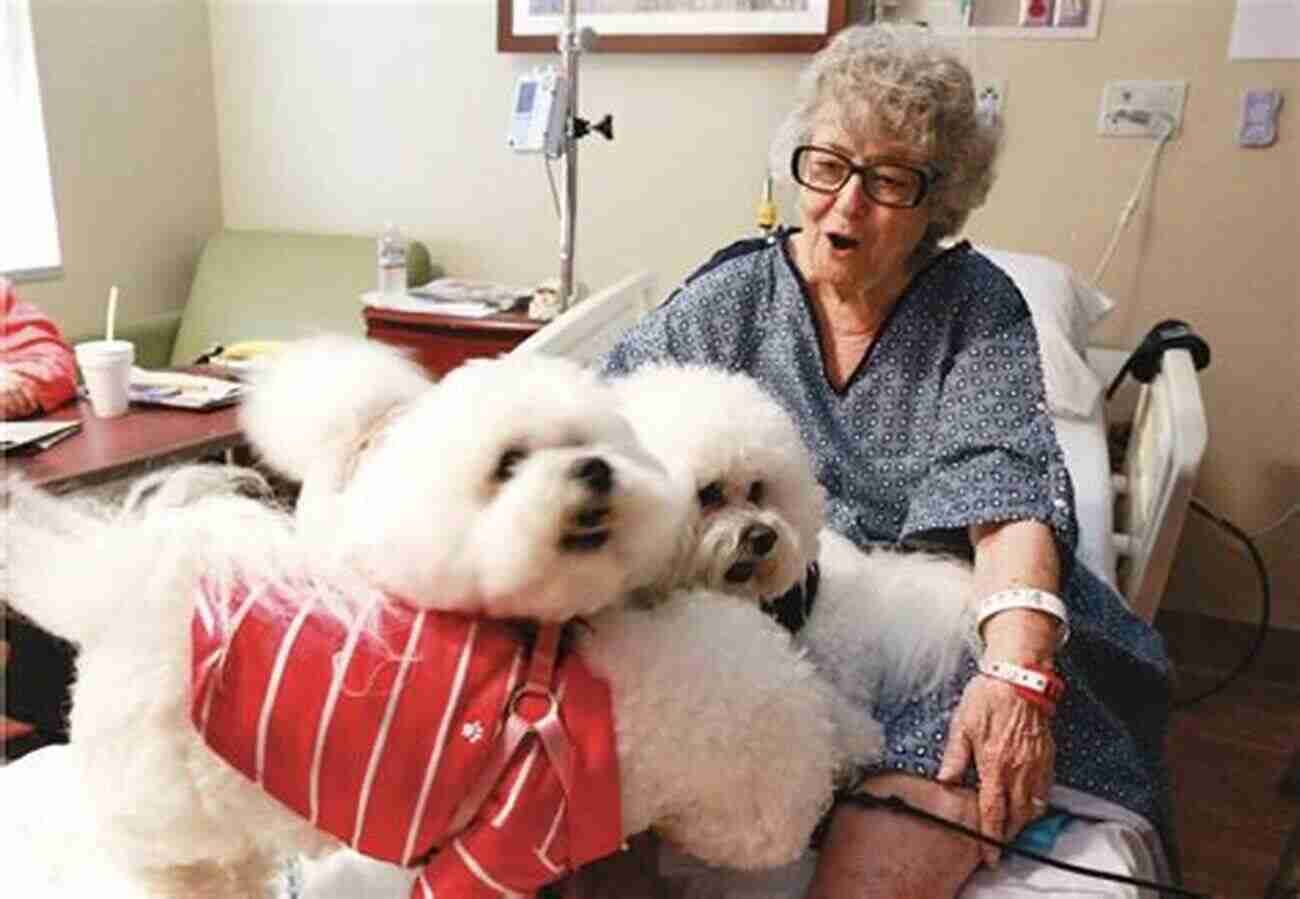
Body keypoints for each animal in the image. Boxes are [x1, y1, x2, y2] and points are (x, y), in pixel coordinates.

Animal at [2, 340, 873, 893]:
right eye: (712, 494)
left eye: (761, 490)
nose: (764, 538)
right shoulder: (497, 852)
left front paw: (860, 731)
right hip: (173, 817)